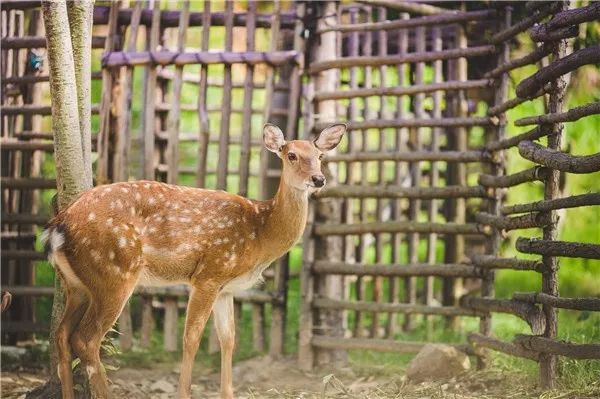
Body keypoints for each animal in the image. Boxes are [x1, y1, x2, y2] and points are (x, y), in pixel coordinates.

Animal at [43, 123, 346, 398]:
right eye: (291, 154)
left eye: (320, 155)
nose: (318, 179)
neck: (260, 233)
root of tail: (58, 225)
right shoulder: (209, 274)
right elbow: (192, 337)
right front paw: (184, 392)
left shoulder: (226, 288)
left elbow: (228, 339)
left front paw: (228, 394)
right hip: (114, 272)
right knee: (86, 338)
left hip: (77, 284)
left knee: (61, 334)